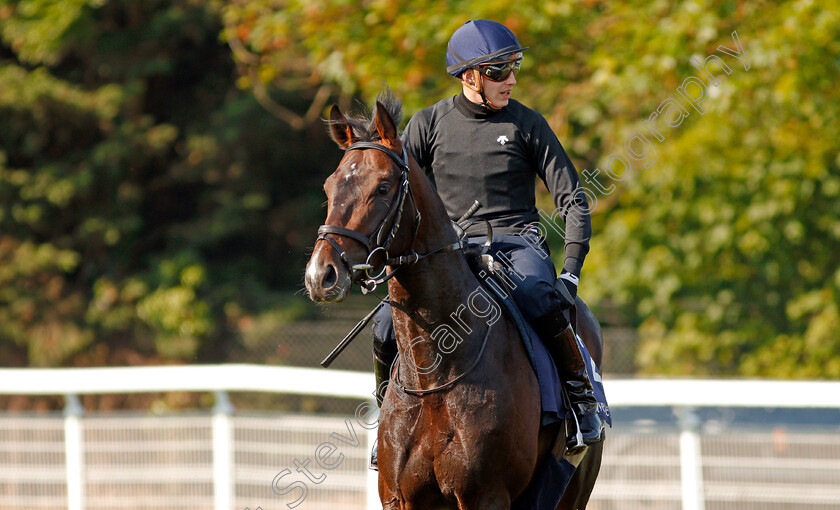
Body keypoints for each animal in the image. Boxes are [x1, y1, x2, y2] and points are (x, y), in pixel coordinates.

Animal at [306, 96, 600, 510]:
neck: (436, 376)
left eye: (382, 187)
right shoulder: (400, 498)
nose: (321, 275)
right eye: (330, 186)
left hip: (571, 489)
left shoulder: (486, 496)